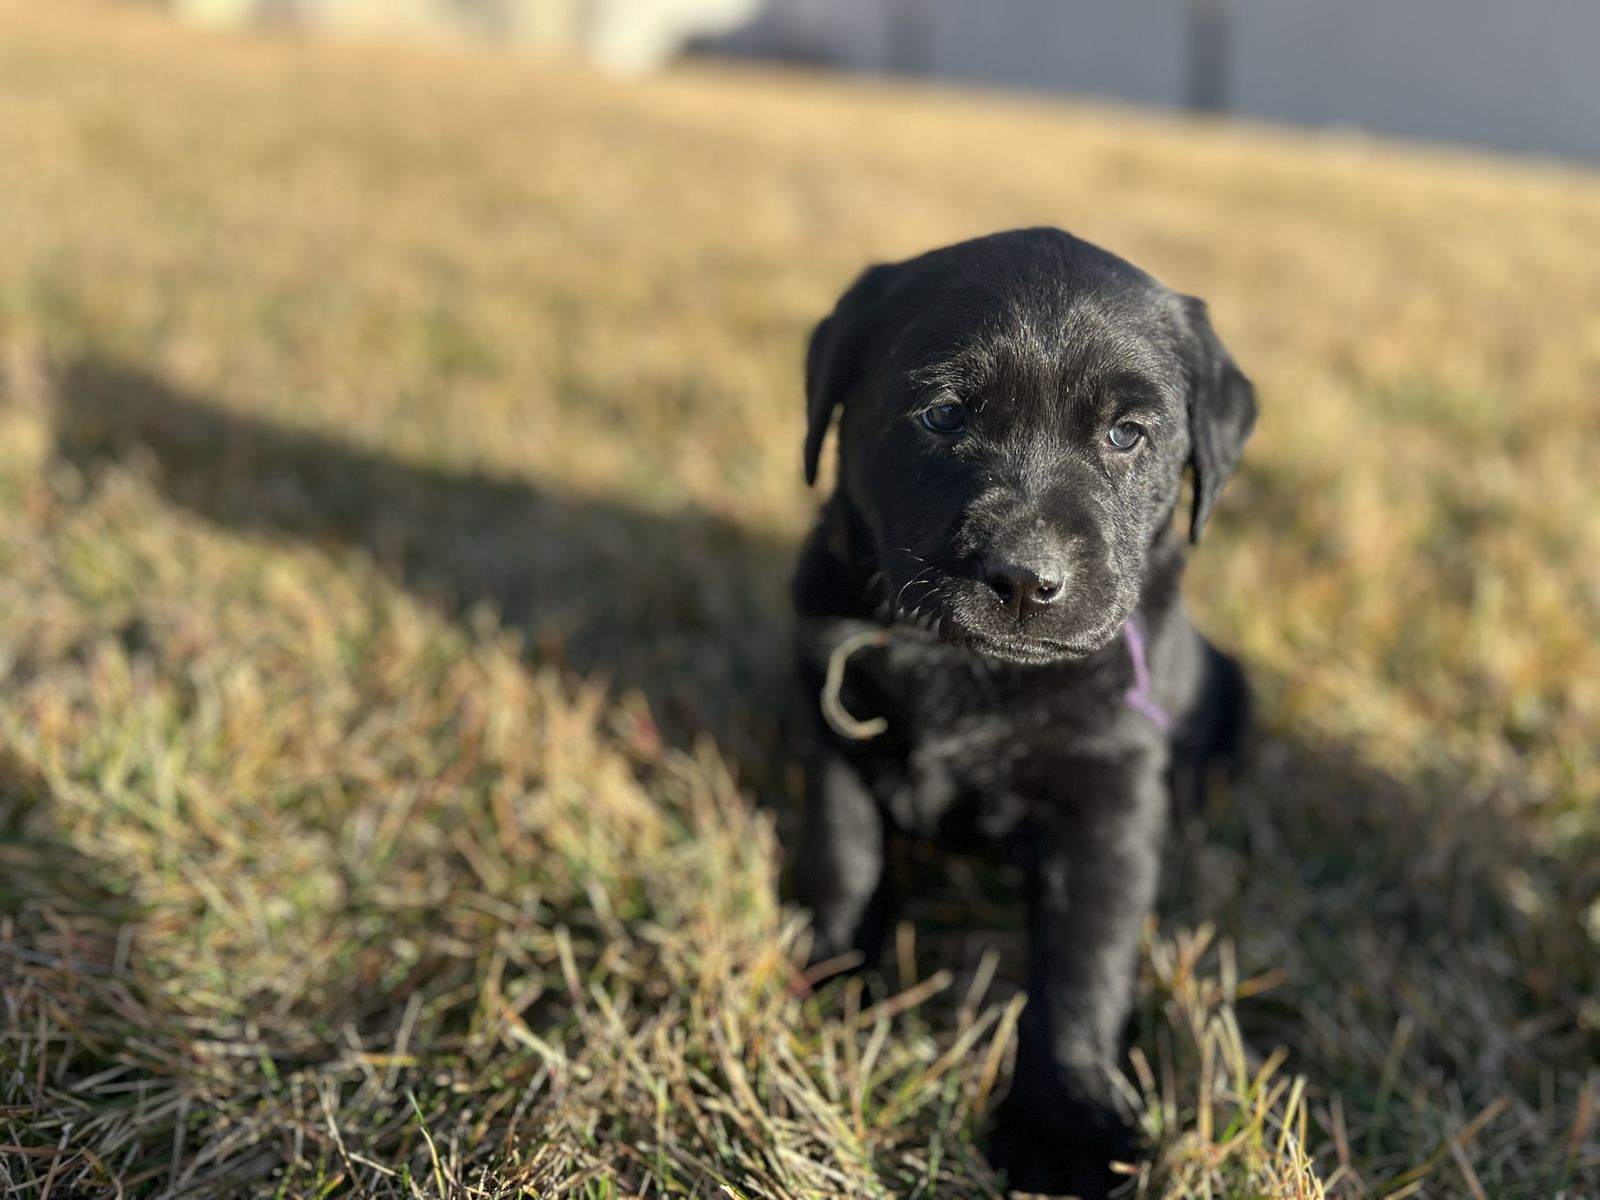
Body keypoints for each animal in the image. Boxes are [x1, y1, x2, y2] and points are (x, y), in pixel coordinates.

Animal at [788, 228, 1255, 1197]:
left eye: (1127, 434)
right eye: (942, 415)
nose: (1024, 580)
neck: (965, 666)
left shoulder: (1111, 808)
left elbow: (1083, 968)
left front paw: (1064, 1129)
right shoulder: (830, 727)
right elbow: (844, 858)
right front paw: (841, 980)